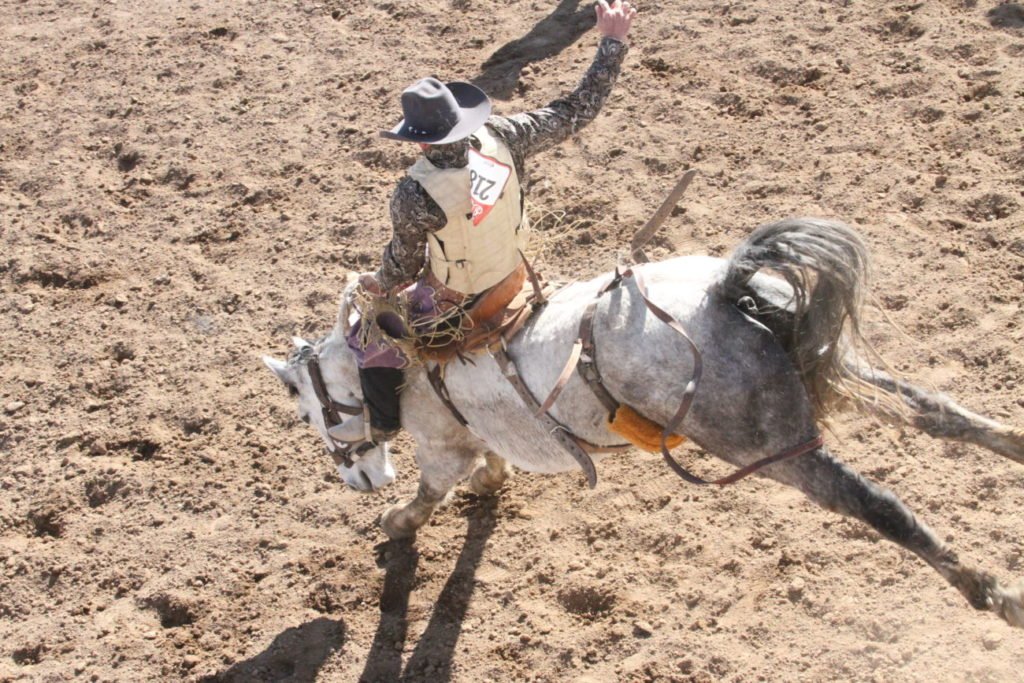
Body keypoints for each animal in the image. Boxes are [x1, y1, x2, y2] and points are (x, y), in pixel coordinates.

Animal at [262, 219, 1024, 630]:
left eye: (306, 408)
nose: (358, 478)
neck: (407, 363)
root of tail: (726, 287)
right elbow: (487, 466)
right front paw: (489, 483)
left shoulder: (441, 444)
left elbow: (431, 489)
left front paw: (395, 520)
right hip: (834, 368)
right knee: (938, 410)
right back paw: (1011, 445)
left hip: (775, 447)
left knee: (881, 504)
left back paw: (991, 591)